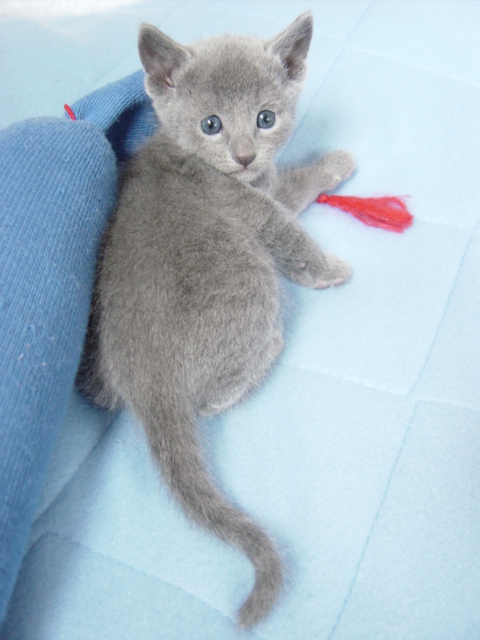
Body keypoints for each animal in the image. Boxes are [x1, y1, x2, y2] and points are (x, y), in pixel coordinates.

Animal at [77, 12, 354, 628]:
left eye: (265, 118)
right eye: (211, 124)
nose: (247, 155)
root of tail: (147, 378)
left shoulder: (265, 185)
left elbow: (289, 182)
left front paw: (330, 164)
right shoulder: (256, 210)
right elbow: (292, 229)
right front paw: (333, 262)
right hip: (251, 282)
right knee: (213, 397)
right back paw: (270, 349)